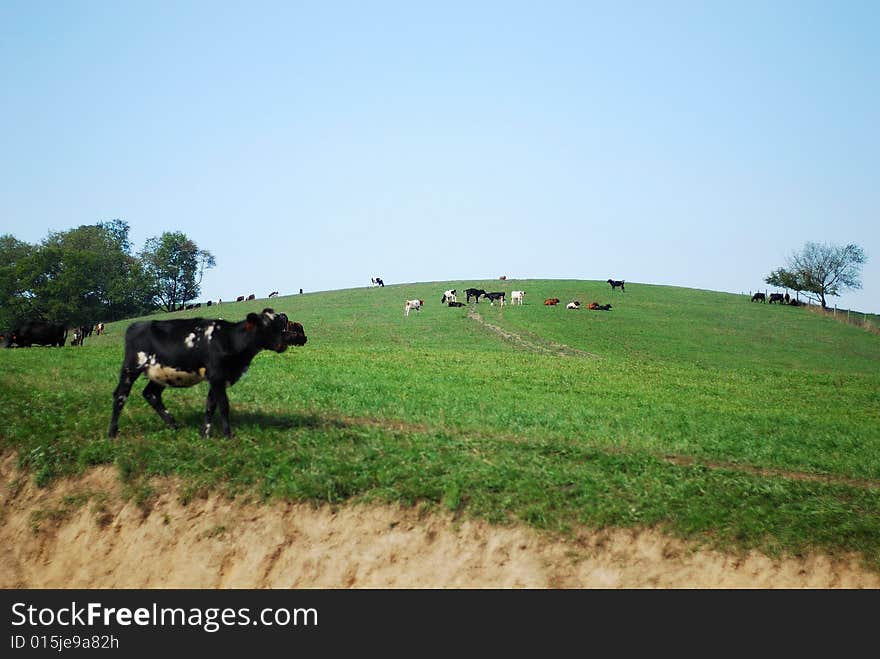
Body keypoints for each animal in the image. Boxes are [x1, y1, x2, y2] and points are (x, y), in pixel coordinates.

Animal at [109, 308, 306, 440]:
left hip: (161, 373)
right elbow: (224, 405)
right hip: (131, 368)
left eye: (281, 325)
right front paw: (228, 435)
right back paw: (112, 433)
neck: (229, 339)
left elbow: (211, 405)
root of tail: (136, 325)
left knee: (151, 394)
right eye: (267, 326)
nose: (282, 344)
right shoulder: (217, 375)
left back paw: (174, 425)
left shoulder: (218, 378)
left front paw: (205, 434)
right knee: (120, 396)